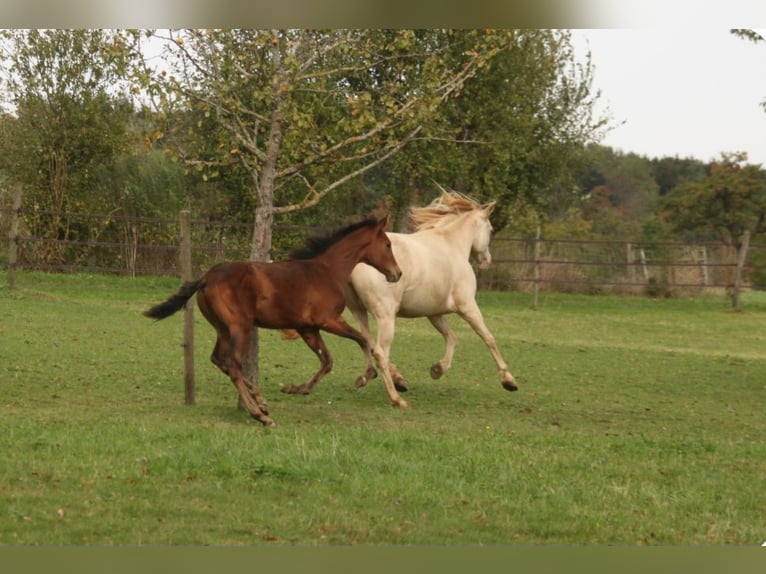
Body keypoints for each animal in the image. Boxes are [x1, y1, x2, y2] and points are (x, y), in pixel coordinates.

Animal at [146, 216, 404, 428]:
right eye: (387, 244)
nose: (397, 273)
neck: (328, 271)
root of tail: (206, 278)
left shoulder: (307, 328)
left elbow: (327, 360)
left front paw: (297, 389)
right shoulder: (328, 320)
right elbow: (362, 340)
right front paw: (365, 376)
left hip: (222, 328)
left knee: (219, 360)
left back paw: (260, 401)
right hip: (240, 327)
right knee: (233, 365)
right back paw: (260, 415)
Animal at [346, 190, 516, 410]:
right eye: (491, 228)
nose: (486, 260)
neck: (452, 245)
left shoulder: (434, 313)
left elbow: (452, 338)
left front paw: (438, 369)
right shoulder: (467, 306)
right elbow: (488, 338)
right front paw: (508, 380)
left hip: (358, 310)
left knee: (367, 342)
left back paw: (381, 378)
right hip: (385, 315)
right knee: (380, 352)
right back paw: (396, 398)